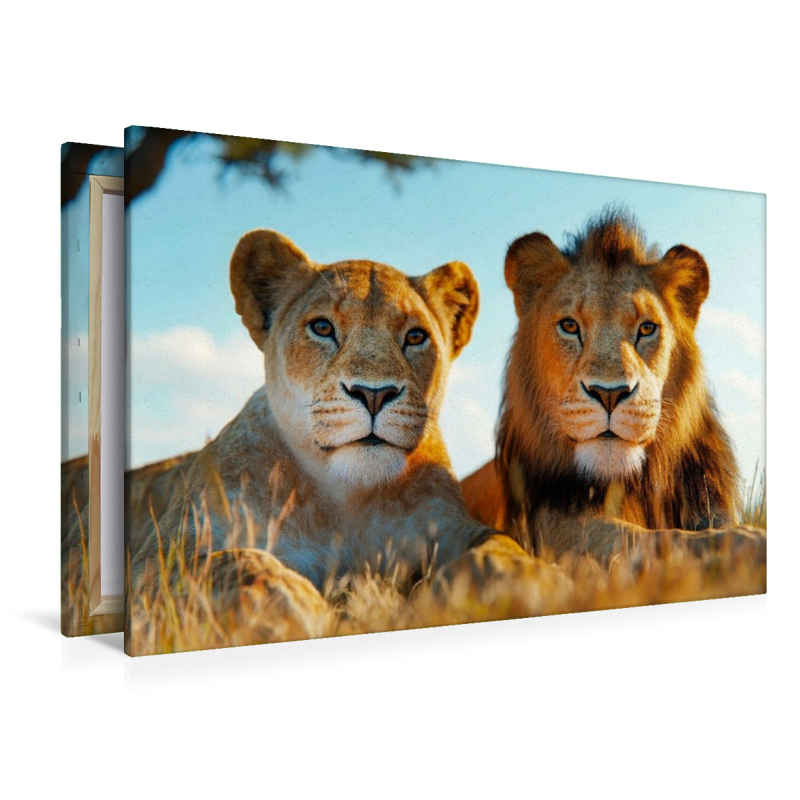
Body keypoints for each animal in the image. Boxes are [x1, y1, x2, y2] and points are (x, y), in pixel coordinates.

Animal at [127, 228, 507, 622]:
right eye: (322, 328)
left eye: (416, 336)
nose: (374, 394)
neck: (346, 499)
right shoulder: (160, 557)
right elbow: (239, 562)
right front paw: (312, 611)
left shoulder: (450, 523)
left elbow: (502, 547)